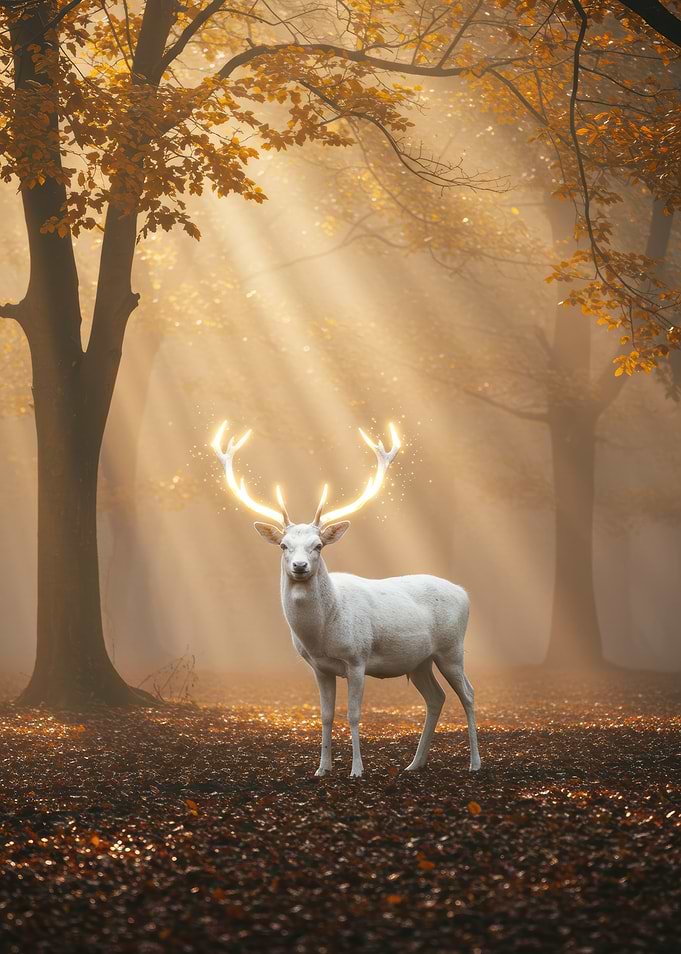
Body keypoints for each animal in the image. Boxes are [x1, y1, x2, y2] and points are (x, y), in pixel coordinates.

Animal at [212, 421, 481, 778]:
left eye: (318, 546)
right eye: (284, 546)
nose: (300, 566)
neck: (321, 635)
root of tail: (464, 592)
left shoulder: (357, 657)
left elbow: (353, 714)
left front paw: (356, 770)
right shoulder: (318, 667)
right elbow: (325, 716)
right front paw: (322, 768)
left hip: (452, 648)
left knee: (468, 693)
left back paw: (475, 763)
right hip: (419, 660)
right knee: (436, 698)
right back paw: (414, 763)